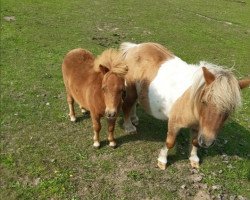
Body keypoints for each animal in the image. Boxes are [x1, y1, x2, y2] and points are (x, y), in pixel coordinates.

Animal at [119, 41, 250, 169]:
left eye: (230, 110)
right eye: (204, 101)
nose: (206, 142)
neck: (192, 103)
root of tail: (134, 47)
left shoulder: (198, 127)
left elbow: (194, 142)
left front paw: (194, 159)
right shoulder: (174, 124)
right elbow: (170, 143)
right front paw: (162, 160)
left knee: (133, 103)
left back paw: (134, 119)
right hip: (130, 89)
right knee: (127, 105)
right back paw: (129, 127)